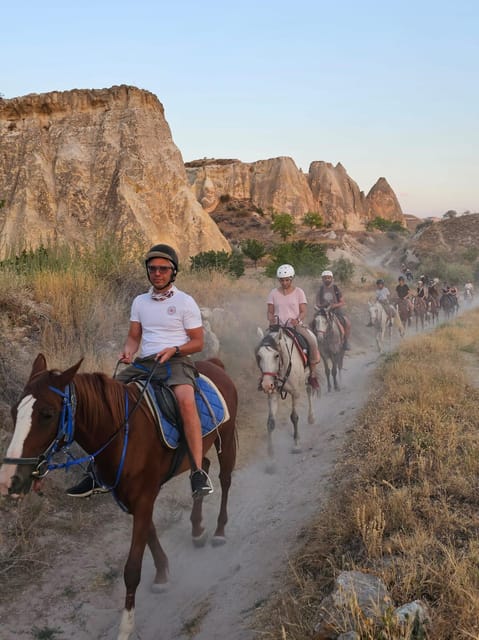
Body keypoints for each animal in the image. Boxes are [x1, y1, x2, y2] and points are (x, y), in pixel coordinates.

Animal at [0, 356, 239, 640]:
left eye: (47, 414)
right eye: (14, 412)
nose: (10, 479)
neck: (122, 433)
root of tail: (215, 364)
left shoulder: (144, 497)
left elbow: (132, 568)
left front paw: (126, 626)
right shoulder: (128, 497)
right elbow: (150, 533)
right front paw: (162, 574)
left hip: (227, 438)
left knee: (225, 479)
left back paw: (219, 532)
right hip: (199, 452)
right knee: (203, 467)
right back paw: (197, 529)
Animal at [255, 328, 316, 462]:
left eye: (276, 355)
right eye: (259, 356)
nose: (266, 384)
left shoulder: (295, 393)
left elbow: (294, 417)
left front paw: (296, 445)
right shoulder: (272, 394)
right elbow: (270, 422)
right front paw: (270, 453)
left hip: (309, 376)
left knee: (309, 391)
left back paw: (311, 417)